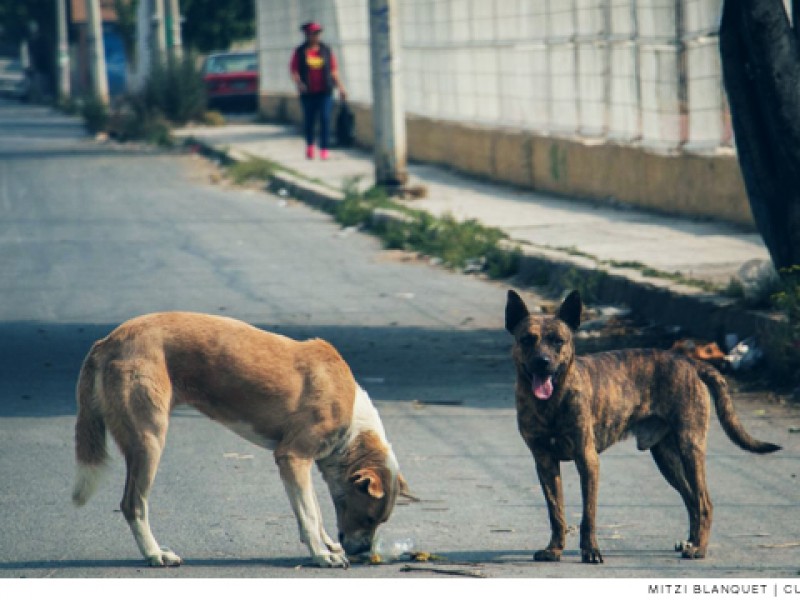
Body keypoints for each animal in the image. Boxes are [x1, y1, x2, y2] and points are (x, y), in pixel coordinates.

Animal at [72, 312, 410, 568]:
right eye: (369, 517)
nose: (364, 553)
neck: (352, 422)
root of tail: (107, 342)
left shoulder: (300, 465)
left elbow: (313, 509)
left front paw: (326, 544)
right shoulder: (292, 457)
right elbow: (309, 514)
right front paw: (321, 555)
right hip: (149, 439)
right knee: (133, 505)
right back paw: (155, 555)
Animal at [506, 290, 780, 564]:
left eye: (558, 341)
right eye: (527, 339)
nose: (542, 362)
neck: (551, 402)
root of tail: (689, 362)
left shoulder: (587, 460)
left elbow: (588, 515)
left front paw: (591, 550)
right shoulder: (545, 462)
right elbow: (556, 512)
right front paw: (554, 549)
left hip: (690, 448)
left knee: (704, 502)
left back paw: (699, 548)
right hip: (667, 459)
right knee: (691, 499)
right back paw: (691, 542)